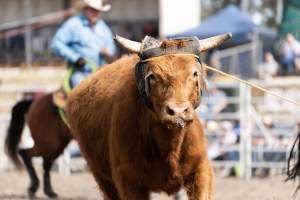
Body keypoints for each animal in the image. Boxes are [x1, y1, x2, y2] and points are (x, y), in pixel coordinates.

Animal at [67, 33, 231, 199]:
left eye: (194, 73)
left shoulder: (201, 171)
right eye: (152, 76)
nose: (177, 111)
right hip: (102, 177)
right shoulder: (128, 182)